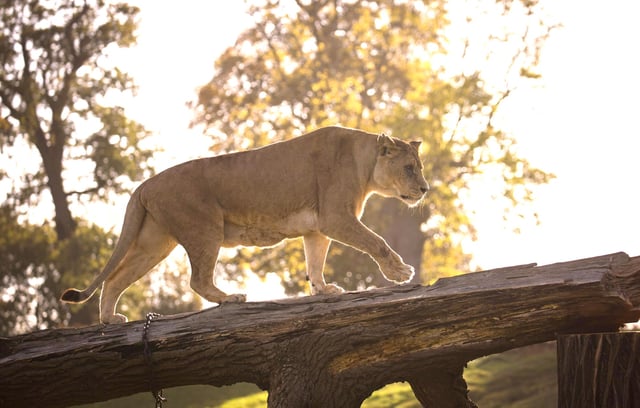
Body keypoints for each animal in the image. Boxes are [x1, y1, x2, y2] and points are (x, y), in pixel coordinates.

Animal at [61, 126, 429, 324]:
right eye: (409, 168)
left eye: (419, 167)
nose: (425, 189)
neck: (364, 164)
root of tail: (144, 185)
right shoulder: (336, 217)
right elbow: (377, 242)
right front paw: (400, 272)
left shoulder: (318, 227)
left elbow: (315, 263)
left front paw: (323, 290)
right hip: (204, 229)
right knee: (197, 279)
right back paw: (231, 298)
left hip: (155, 243)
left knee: (116, 278)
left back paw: (110, 319)